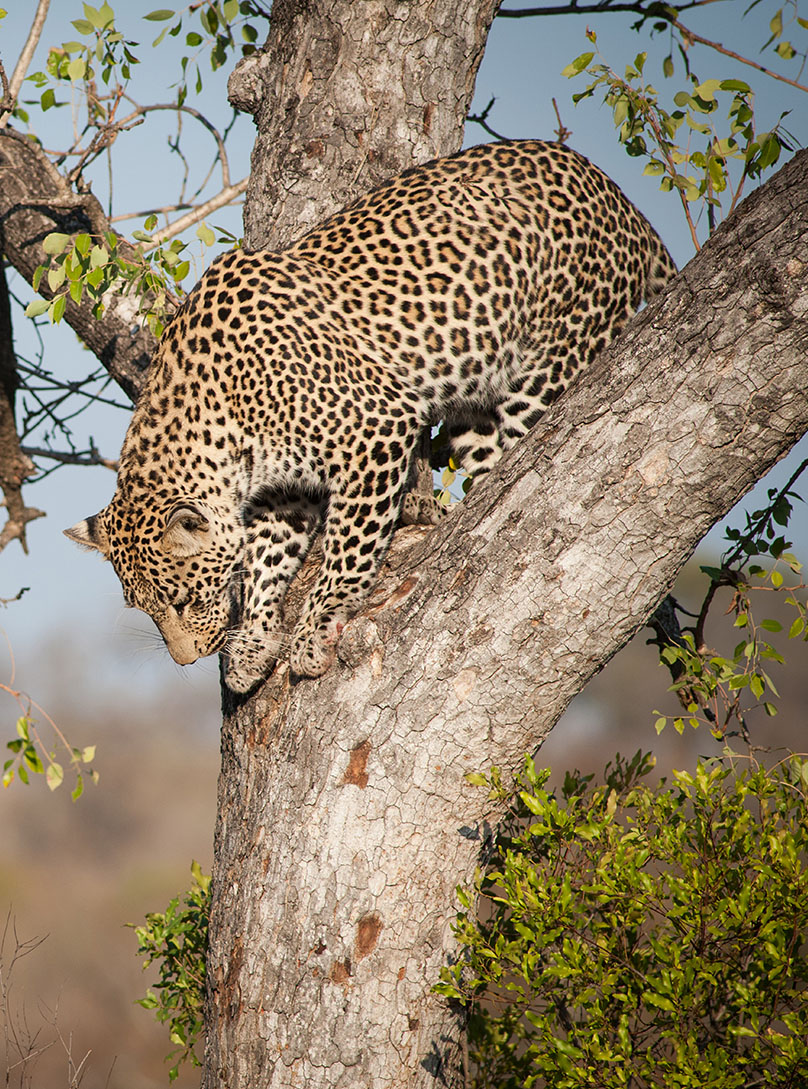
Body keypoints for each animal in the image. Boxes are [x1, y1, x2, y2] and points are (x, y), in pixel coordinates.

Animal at [66, 140, 679, 692]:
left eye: (183, 600)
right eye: (147, 610)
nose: (187, 659)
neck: (221, 420)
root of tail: (617, 195)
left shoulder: (375, 432)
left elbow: (347, 547)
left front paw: (314, 632)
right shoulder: (282, 490)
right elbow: (266, 560)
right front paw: (254, 645)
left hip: (553, 356)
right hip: (474, 399)